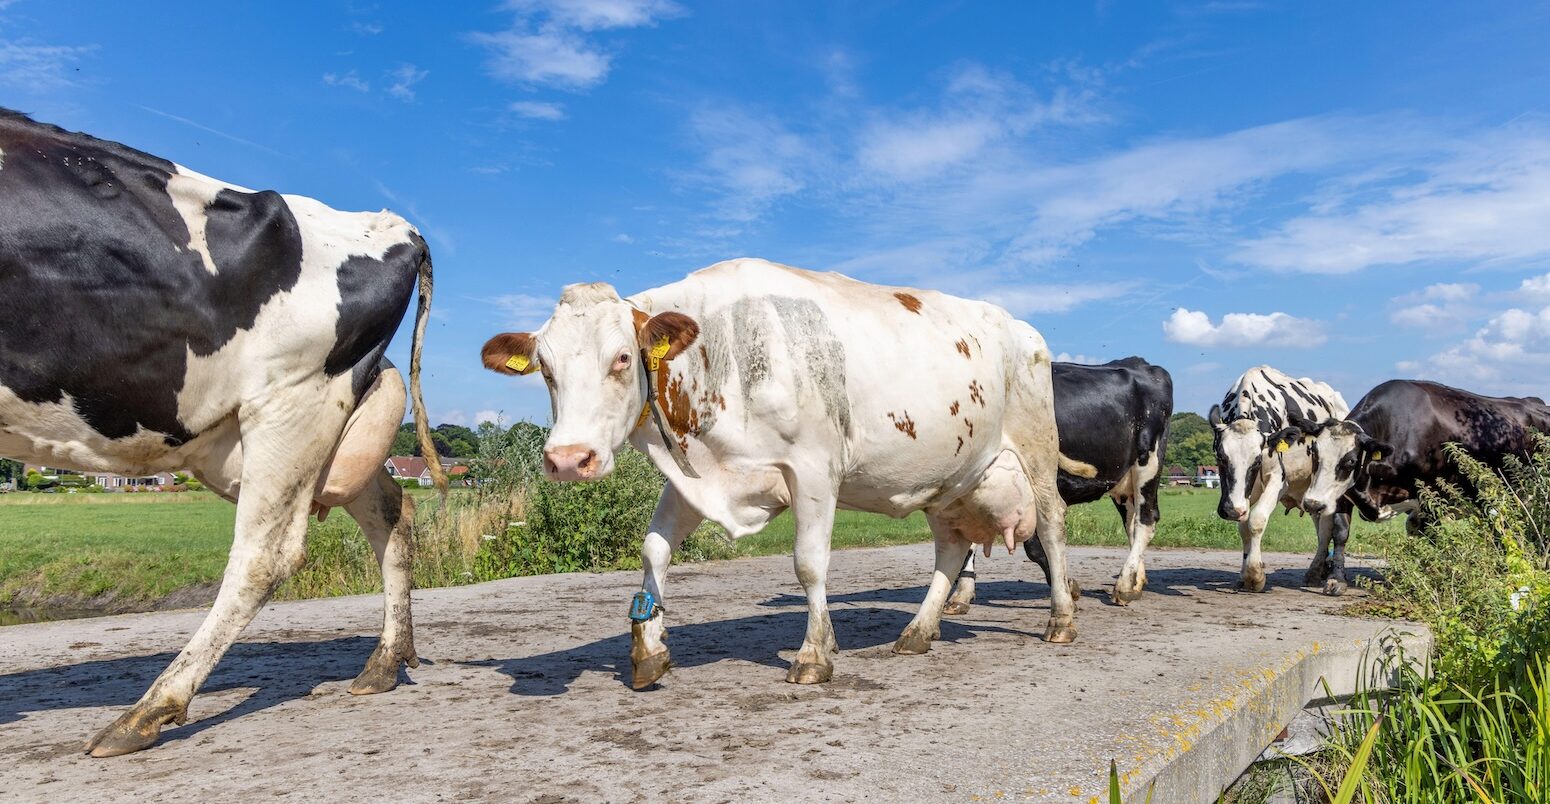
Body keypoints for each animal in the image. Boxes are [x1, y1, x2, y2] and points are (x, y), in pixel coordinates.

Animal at [1, 109, 449, 759]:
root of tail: (391, 225)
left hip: (293, 403)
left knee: (263, 555)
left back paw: (147, 711)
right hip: (323, 423)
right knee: (390, 511)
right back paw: (384, 664)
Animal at [483, 261, 1078, 687]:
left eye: (623, 358)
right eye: (545, 368)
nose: (567, 459)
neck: (721, 352)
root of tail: (1020, 326)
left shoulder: (813, 467)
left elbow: (809, 564)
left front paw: (814, 655)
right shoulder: (695, 475)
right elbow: (654, 550)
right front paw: (648, 648)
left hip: (1036, 447)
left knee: (1051, 524)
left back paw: (1061, 620)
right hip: (948, 476)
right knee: (951, 548)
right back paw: (917, 631)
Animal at [942, 357, 1171, 610]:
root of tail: (1142, 364)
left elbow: (1034, 547)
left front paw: (1068, 586)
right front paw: (961, 594)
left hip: (1148, 462)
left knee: (1146, 519)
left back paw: (1124, 586)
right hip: (1122, 482)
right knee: (1132, 522)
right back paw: (1136, 581)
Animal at [1202, 368, 1351, 594]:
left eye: (1256, 460)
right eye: (1220, 457)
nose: (1231, 511)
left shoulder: (1278, 480)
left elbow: (1256, 520)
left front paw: (1255, 576)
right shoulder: (1248, 490)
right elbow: (1244, 528)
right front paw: (1244, 575)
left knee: (1328, 529)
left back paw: (1319, 573)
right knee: (1320, 527)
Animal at [1302, 381, 1550, 588]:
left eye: (1351, 461)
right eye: (1314, 453)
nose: (1312, 503)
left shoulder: (1431, 495)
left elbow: (1431, 536)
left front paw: (1430, 575)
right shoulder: (1343, 493)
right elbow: (1340, 532)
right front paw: (1336, 580)